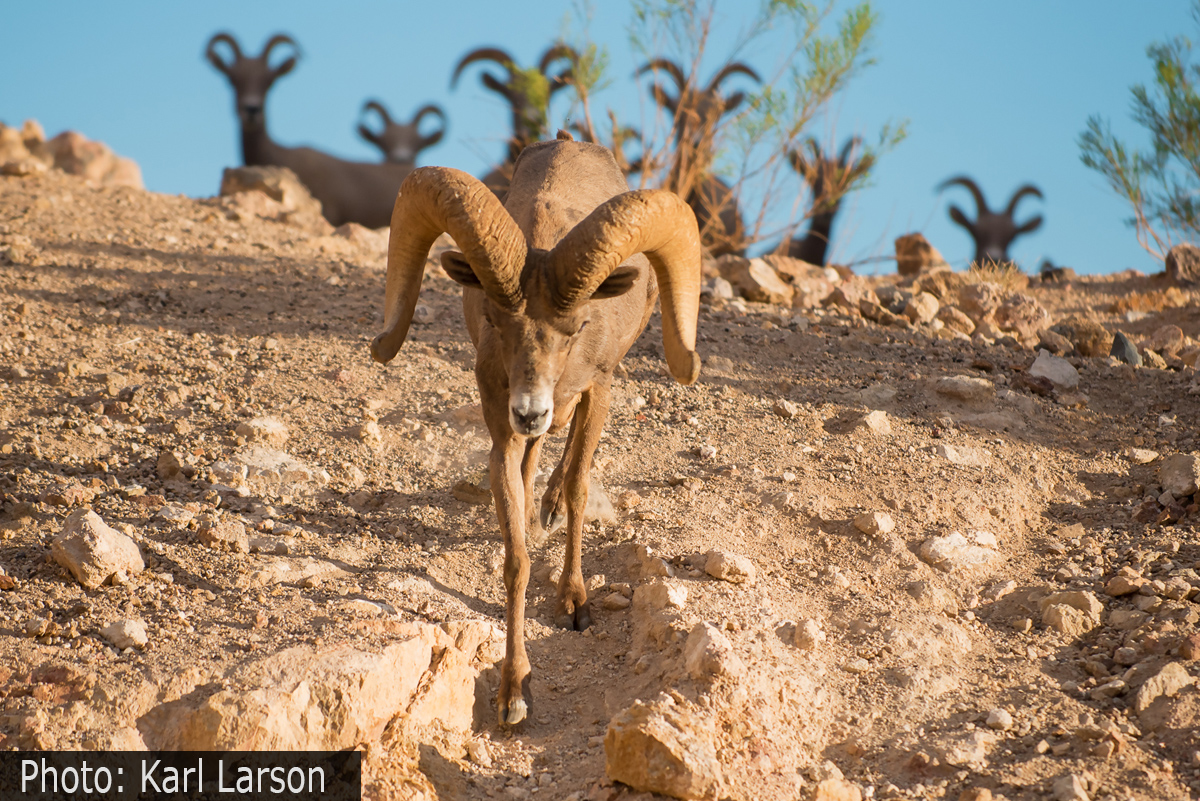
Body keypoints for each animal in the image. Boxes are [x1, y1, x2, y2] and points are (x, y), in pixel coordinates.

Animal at [370, 131, 702, 725]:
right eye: (495, 320)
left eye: (576, 327)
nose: (528, 410)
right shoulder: (500, 434)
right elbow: (517, 559)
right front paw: (513, 693)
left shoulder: (598, 393)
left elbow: (579, 488)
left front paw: (574, 603)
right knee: (536, 461)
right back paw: (534, 505)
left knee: (565, 458)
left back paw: (547, 504)